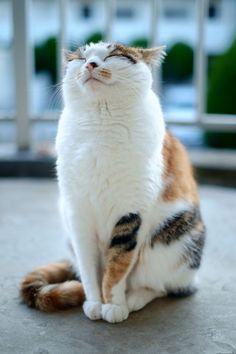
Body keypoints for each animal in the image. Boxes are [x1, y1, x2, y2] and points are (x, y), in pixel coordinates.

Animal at [20, 42, 205, 324]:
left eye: (114, 55)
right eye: (81, 57)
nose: (90, 64)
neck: (100, 124)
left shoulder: (132, 211)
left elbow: (118, 265)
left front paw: (114, 305)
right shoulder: (77, 212)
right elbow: (89, 267)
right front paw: (94, 302)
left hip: (176, 240)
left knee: (163, 286)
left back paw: (134, 299)